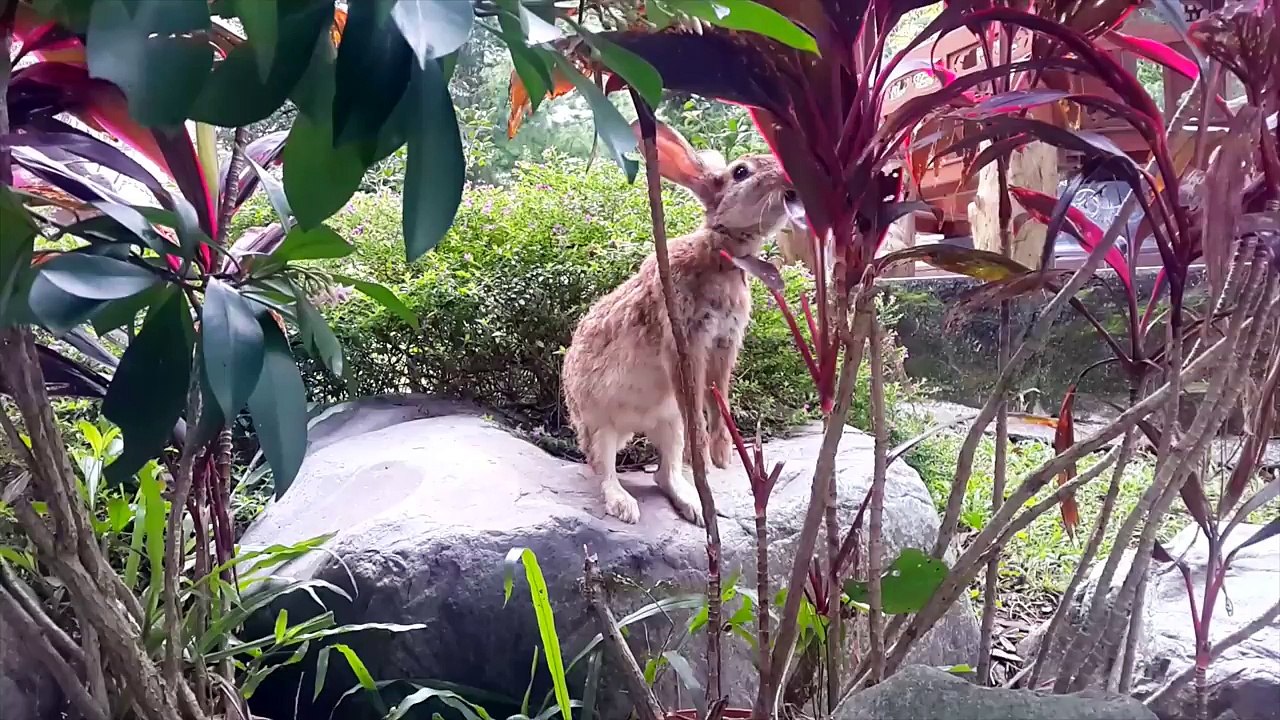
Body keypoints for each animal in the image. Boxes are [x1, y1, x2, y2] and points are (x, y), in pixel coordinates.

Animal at [562, 120, 800, 525]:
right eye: (741, 171)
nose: (790, 178)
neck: (721, 254)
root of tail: (631, 429)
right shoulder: (683, 340)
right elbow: (695, 398)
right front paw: (708, 452)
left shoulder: (723, 344)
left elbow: (719, 395)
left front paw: (721, 454)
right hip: (598, 423)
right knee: (603, 467)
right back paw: (625, 506)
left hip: (667, 424)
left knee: (665, 473)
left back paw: (697, 508)